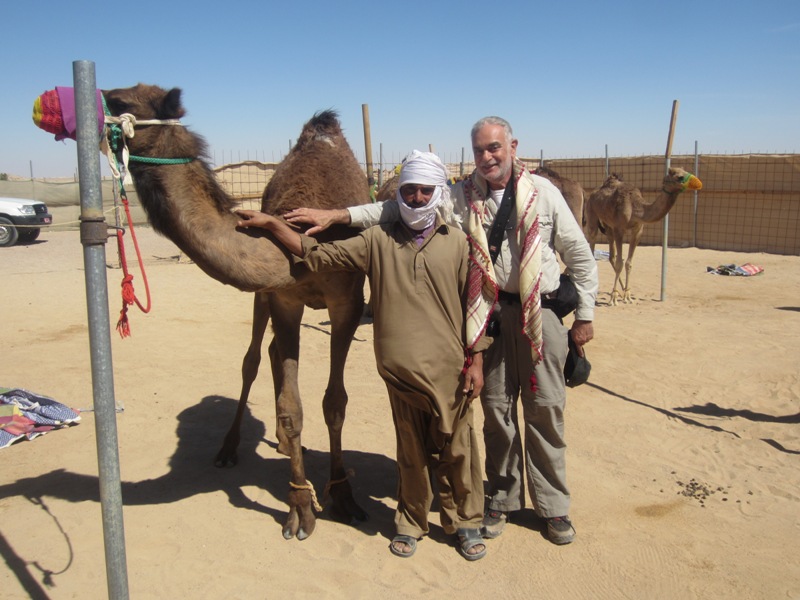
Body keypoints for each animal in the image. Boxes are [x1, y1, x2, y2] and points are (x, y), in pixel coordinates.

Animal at [101, 83, 372, 540]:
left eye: (119, 103)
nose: (95, 96)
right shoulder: (284, 299)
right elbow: (291, 406)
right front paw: (300, 507)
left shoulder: (348, 303)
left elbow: (335, 402)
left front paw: (343, 495)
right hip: (263, 297)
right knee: (254, 360)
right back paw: (232, 448)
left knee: (269, 358)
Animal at [584, 166, 704, 304]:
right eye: (679, 177)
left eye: (687, 172)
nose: (698, 183)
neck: (636, 208)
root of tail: (593, 192)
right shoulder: (619, 229)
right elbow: (620, 263)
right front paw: (613, 298)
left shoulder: (638, 230)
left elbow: (628, 263)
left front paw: (627, 294)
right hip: (592, 214)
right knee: (592, 241)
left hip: (608, 225)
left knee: (611, 255)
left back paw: (621, 289)